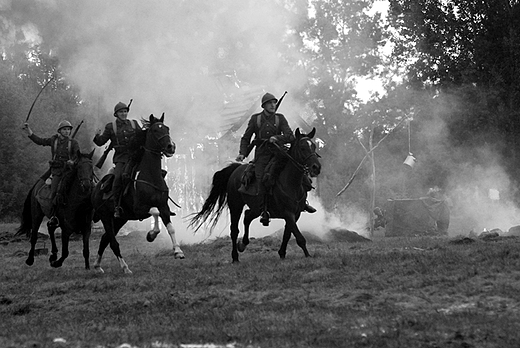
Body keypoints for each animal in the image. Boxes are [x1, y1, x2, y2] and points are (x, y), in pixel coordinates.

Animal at [91, 113, 185, 274]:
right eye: (155, 130)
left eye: (167, 128)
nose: (170, 147)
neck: (150, 176)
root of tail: (97, 188)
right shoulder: (139, 209)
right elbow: (154, 212)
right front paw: (151, 235)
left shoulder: (164, 207)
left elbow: (170, 228)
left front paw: (178, 251)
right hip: (106, 218)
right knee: (113, 242)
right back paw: (125, 268)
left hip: (120, 220)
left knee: (104, 239)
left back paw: (97, 266)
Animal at [189, 129, 322, 262]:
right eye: (302, 147)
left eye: (314, 146)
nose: (316, 167)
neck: (290, 183)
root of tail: (236, 169)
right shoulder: (288, 213)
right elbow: (299, 237)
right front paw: (308, 255)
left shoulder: (296, 214)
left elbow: (287, 234)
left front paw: (282, 254)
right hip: (235, 206)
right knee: (234, 230)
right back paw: (235, 257)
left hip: (256, 208)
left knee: (247, 216)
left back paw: (243, 244)